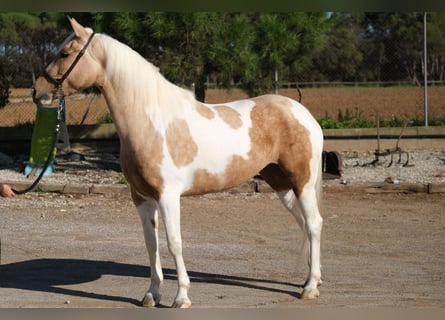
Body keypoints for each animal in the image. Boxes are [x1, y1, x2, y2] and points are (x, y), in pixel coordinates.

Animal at [32, 17, 322, 308]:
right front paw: (152, 294)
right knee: (303, 223)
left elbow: (174, 242)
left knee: (314, 223)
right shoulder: (141, 197)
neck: (151, 122)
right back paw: (313, 279)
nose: (37, 91)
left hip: (302, 182)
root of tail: (303, 112)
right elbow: (151, 244)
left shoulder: (168, 196)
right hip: (280, 183)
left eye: (65, 53)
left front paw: (181, 296)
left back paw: (309, 287)